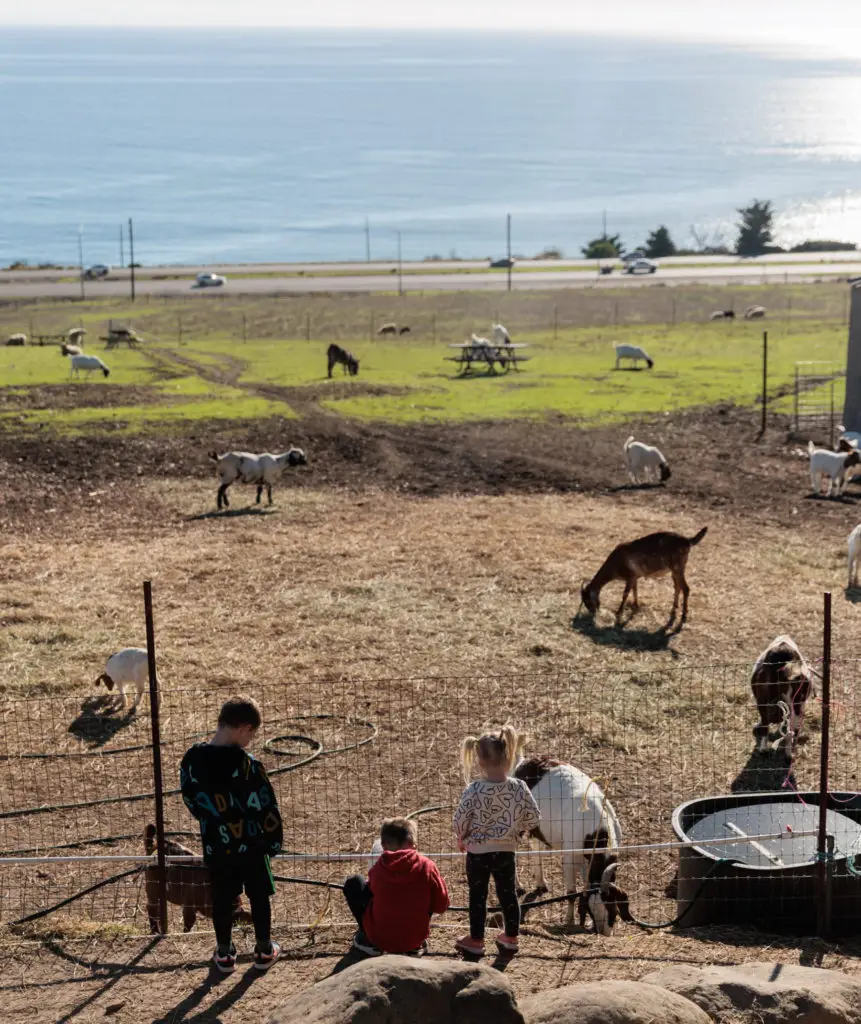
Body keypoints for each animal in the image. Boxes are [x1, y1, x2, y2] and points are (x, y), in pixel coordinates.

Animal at [509, 753, 630, 937]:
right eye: (594, 909)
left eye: (612, 907)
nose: (603, 932)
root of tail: (523, 762)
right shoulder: (570, 856)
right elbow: (572, 893)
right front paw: (569, 920)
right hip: (517, 822)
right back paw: (518, 886)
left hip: (539, 826)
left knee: (536, 847)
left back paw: (541, 883)